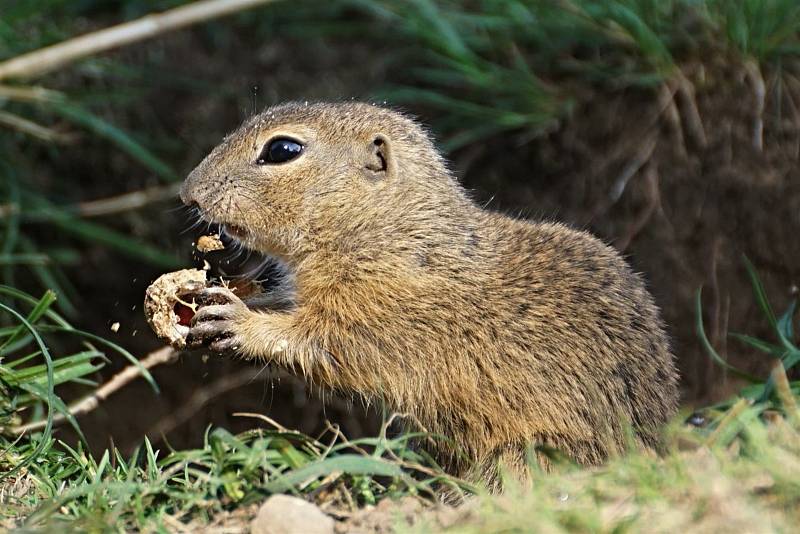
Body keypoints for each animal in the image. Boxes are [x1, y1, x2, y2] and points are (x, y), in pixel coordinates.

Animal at [180, 101, 676, 490]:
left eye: (282, 150)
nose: (188, 191)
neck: (390, 230)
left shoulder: (380, 310)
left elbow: (325, 343)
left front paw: (238, 321)